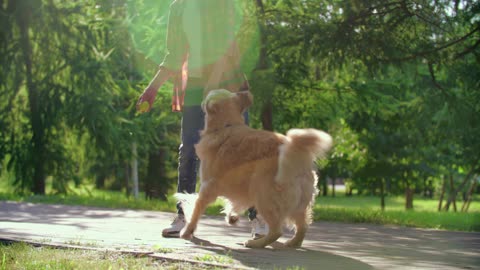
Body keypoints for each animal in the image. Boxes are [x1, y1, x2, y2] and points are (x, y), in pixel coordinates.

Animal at [178, 89, 332, 248]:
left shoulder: (208, 187)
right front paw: (231, 216)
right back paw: (292, 243)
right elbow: (234, 202)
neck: (228, 125)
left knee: (276, 231)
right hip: (299, 204)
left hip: (263, 195)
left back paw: (255, 243)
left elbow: (196, 209)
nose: (201, 100)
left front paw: (187, 231)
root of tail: (297, 157)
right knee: (302, 227)